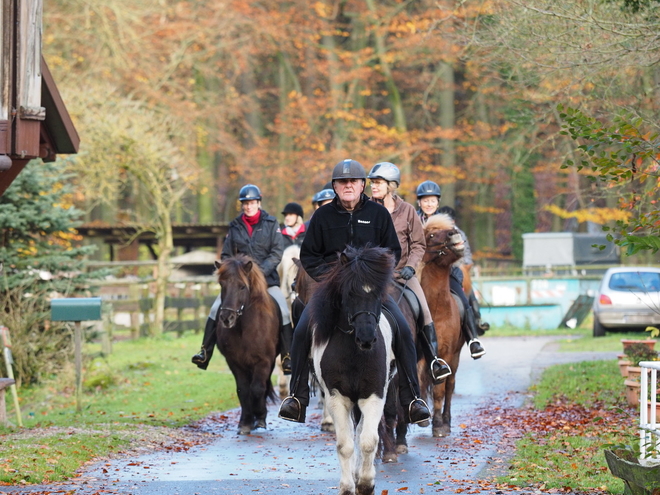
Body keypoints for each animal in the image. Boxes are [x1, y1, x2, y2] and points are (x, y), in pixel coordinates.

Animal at [215, 256, 280, 434]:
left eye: (242, 286)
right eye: (222, 285)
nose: (226, 318)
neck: (243, 328)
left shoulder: (264, 361)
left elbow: (257, 389)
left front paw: (260, 417)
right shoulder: (235, 362)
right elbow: (243, 390)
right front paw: (245, 422)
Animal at [310, 245, 398, 495]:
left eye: (377, 294)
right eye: (349, 294)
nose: (367, 338)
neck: (354, 355)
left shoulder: (374, 395)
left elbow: (368, 440)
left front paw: (366, 483)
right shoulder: (337, 398)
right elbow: (345, 444)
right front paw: (347, 486)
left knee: (360, 432)